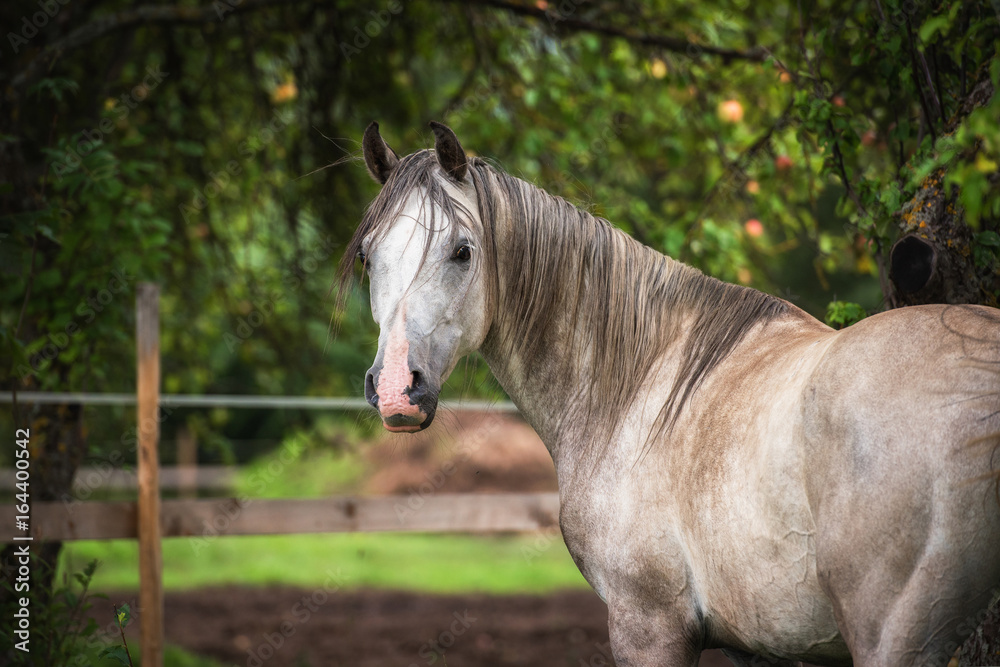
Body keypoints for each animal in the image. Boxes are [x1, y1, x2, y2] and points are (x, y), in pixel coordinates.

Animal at [338, 120, 1000, 667]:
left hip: (892, 636)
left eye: (463, 250)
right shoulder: (757, 646)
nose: (396, 389)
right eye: (369, 256)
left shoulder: (648, 626)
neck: (641, 388)